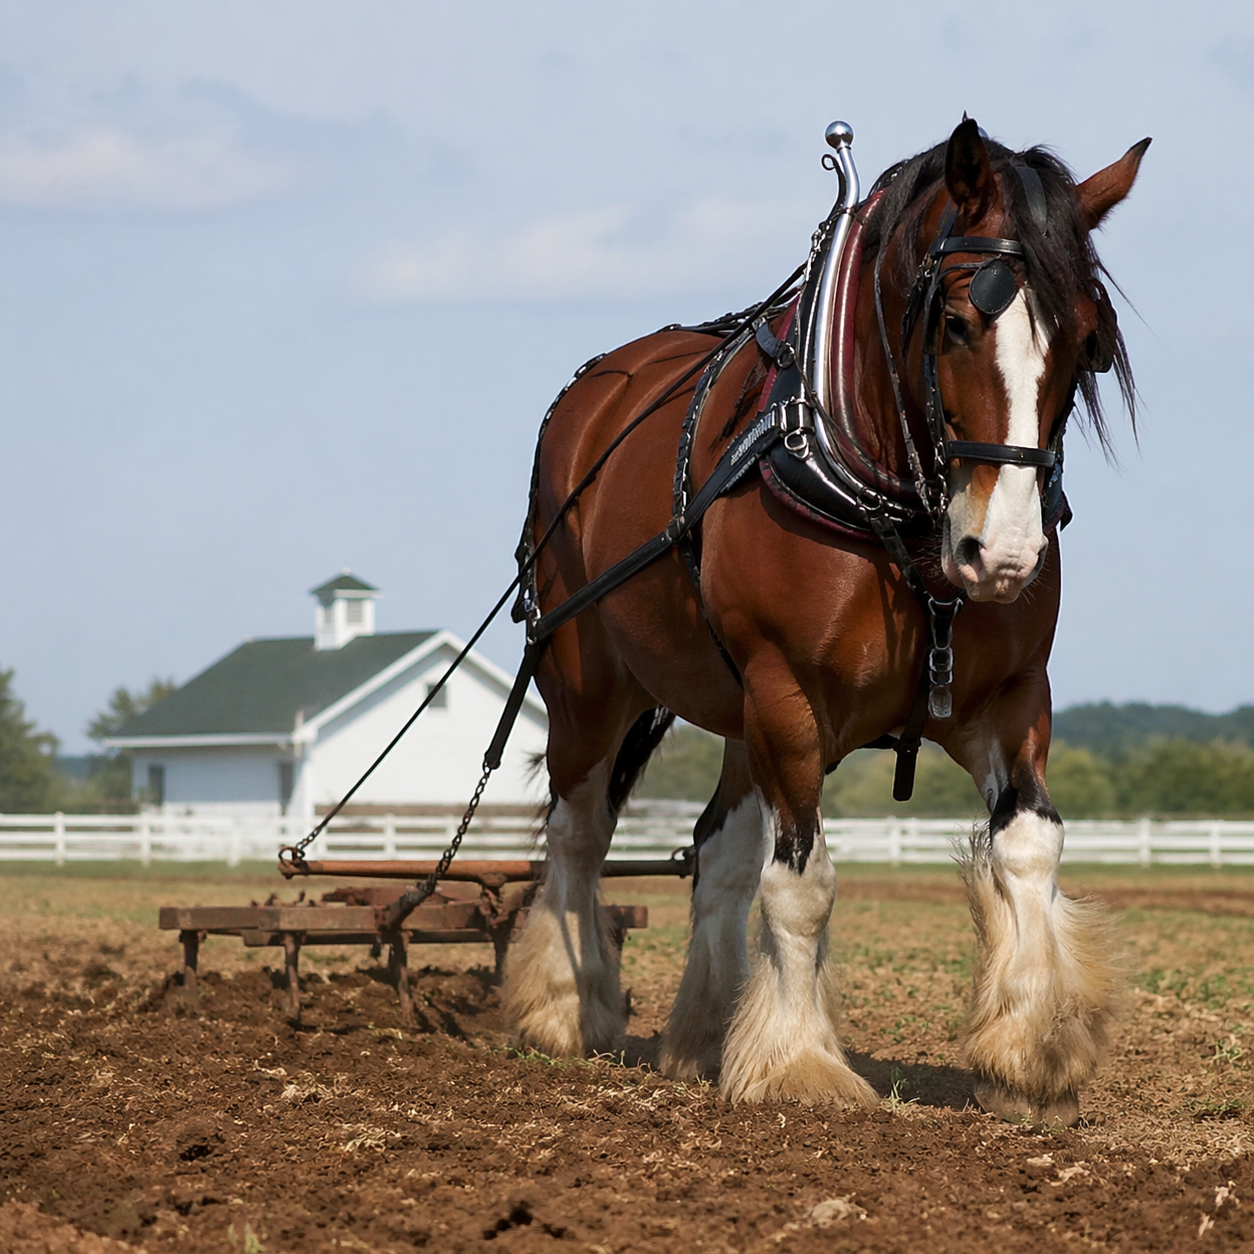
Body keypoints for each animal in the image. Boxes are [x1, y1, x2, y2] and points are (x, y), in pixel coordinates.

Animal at [501, 117, 1148, 1127]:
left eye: (1087, 345)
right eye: (956, 322)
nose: (1003, 557)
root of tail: (593, 390)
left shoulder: (1008, 698)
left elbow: (1030, 846)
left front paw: (1033, 1057)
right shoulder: (789, 694)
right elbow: (803, 884)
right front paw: (799, 1065)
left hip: (735, 711)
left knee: (718, 851)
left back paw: (702, 1034)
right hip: (591, 680)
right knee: (578, 831)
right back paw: (569, 1011)